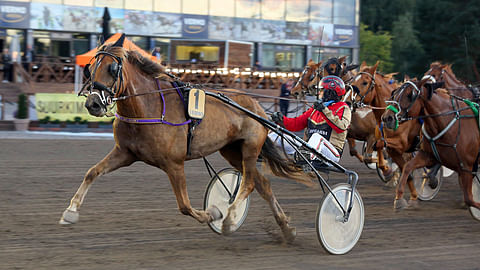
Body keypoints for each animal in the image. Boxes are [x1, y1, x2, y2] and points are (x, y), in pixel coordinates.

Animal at [58, 34, 310, 242]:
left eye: (112, 68)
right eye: (91, 67)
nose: (93, 103)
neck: (147, 107)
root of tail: (257, 107)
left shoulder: (174, 164)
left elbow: (185, 206)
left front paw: (214, 213)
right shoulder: (125, 153)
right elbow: (92, 172)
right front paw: (70, 212)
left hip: (249, 148)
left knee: (248, 183)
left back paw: (229, 219)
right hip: (231, 151)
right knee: (263, 184)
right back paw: (286, 229)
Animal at [382, 80, 480, 211]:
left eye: (409, 95)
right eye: (394, 93)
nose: (387, 117)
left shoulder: (466, 167)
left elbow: (469, 198)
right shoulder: (428, 155)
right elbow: (408, 167)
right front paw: (399, 199)